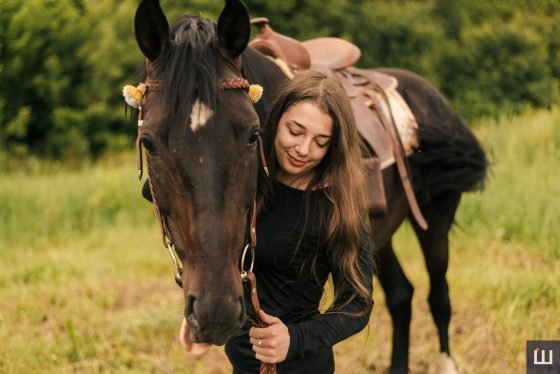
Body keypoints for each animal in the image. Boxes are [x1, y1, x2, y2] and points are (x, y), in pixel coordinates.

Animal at [131, 0, 486, 372]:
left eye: (253, 135)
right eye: (148, 142)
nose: (216, 311)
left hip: (435, 219)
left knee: (438, 295)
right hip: (377, 235)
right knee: (402, 296)